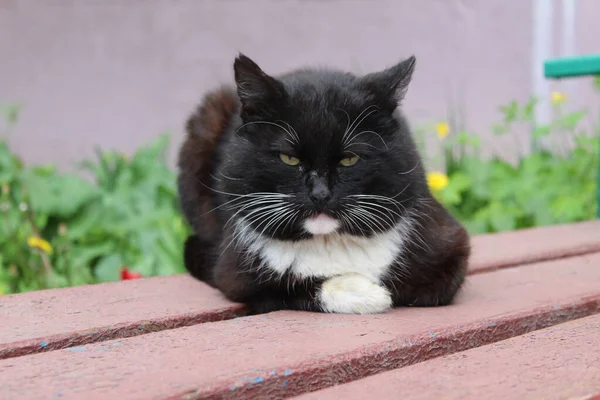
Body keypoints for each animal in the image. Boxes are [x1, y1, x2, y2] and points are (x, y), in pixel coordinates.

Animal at [176, 54, 472, 316]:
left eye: (350, 159)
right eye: (289, 158)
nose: (320, 194)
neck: (329, 240)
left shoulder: (451, 247)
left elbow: (431, 289)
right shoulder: (235, 274)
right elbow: (284, 288)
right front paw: (364, 294)